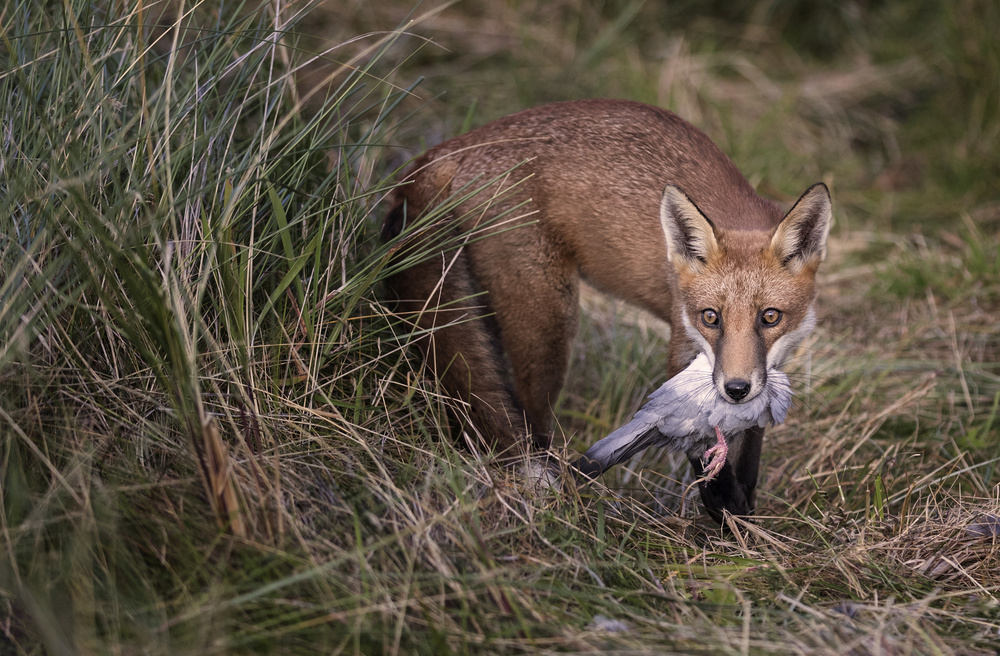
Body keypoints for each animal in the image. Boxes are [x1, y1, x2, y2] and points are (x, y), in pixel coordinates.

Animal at [378, 98, 832, 524]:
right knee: (531, 418)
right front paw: (727, 516)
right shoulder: (683, 352)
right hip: (549, 324)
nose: (735, 389)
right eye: (710, 317)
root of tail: (446, 149)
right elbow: (702, 444)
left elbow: (749, 453)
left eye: (770, 317)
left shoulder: (768, 369)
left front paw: (744, 514)